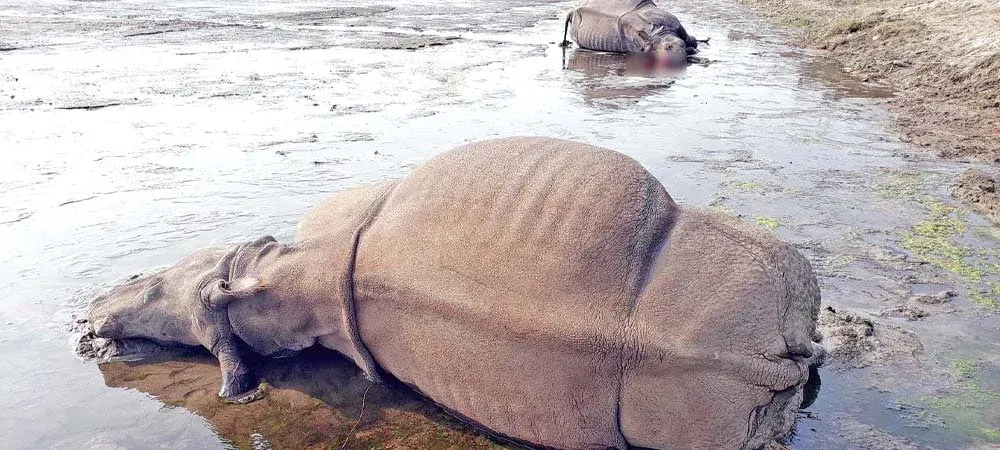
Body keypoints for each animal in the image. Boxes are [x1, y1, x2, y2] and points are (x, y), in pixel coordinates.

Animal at [561, 0, 705, 66]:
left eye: (681, 45)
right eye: (668, 48)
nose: (680, 59)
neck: (660, 34)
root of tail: (574, 9)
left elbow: (692, 41)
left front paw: (693, 49)